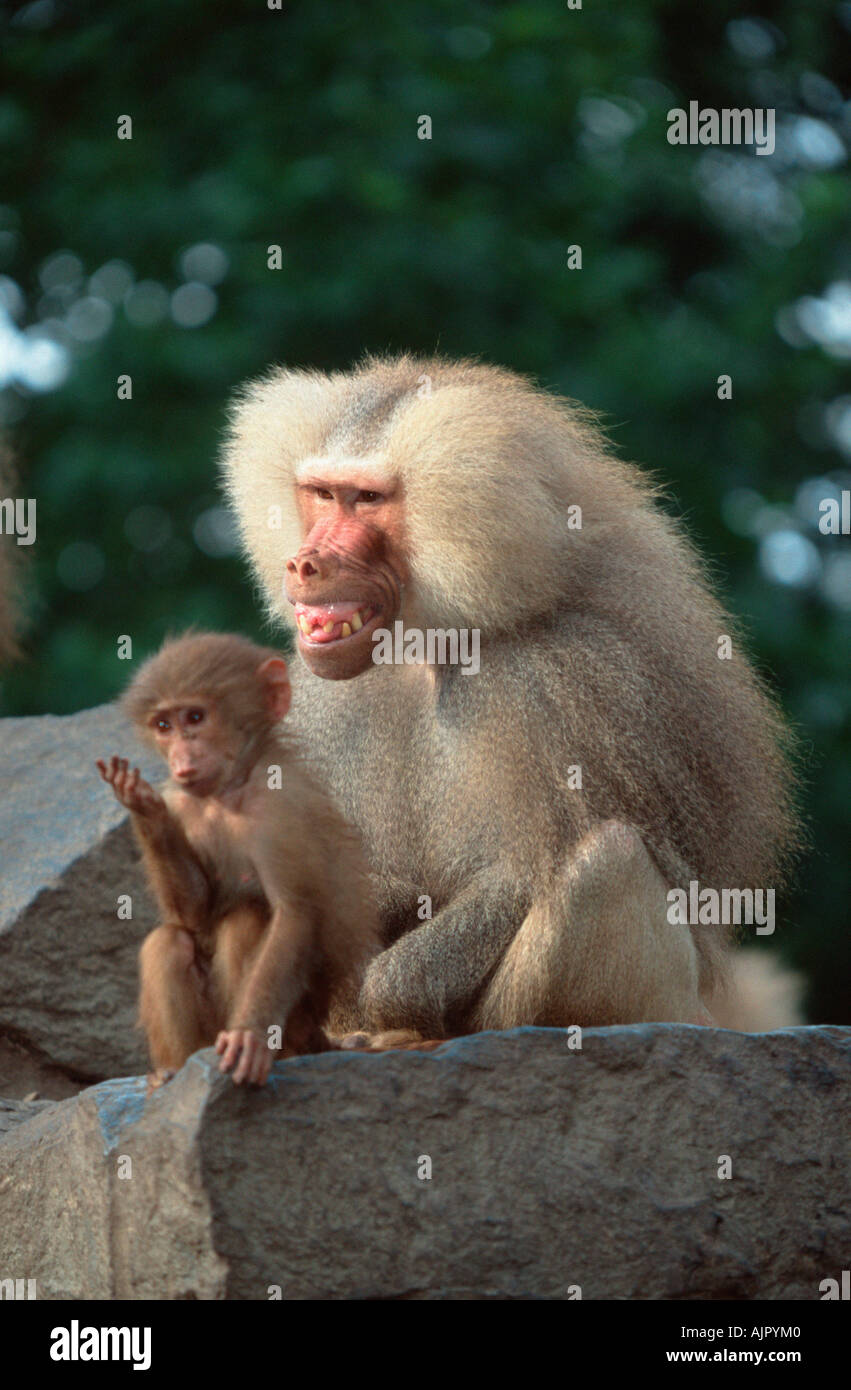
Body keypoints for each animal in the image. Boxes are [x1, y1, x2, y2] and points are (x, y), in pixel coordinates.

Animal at [96, 631, 381, 1087]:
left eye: (195, 717)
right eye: (164, 726)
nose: (181, 756)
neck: (228, 792)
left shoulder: (278, 807)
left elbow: (295, 914)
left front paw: (249, 1037)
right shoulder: (183, 804)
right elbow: (194, 915)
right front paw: (144, 809)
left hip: (301, 1021)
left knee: (246, 919)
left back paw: (276, 1052)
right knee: (168, 942)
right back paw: (175, 1070)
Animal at [221, 354, 803, 1046]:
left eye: (367, 499)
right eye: (321, 494)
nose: (304, 564)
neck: (437, 643)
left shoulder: (559, 685)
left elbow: (523, 874)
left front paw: (392, 999)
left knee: (608, 861)